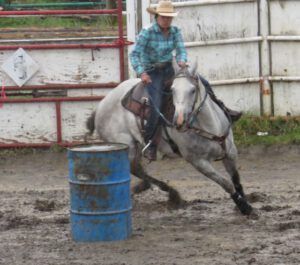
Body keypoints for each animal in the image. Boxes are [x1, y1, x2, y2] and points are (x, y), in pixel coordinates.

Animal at [86, 61, 253, 214]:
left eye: (193, 90)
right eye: (172, 90)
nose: (179, 121)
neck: (209, 126)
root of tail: (101, 105)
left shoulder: (230, 152)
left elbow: (236, 180)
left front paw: (243, 202)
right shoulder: (197, 161)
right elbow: (226, 183)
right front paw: (245, 208)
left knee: (137, 169)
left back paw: (149, 187)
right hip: (127, 146)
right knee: (134, 169)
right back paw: (170, 193)